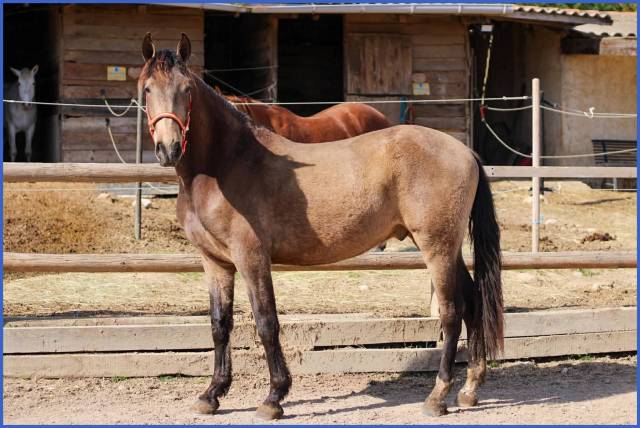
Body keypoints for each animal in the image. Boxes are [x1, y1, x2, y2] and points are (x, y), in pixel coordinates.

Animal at [140, 33, 503, 420]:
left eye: (187, 89)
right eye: (147, 89)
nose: (169, 149)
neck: (227, 163)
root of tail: (464, 152)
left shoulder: (252, 258)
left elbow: (266, 322)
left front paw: (274, 398)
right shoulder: (215, 262)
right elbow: (220, 325)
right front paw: (212, 394)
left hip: (437, 247)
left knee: (451, 313)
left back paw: (437, 396)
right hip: (448, 249)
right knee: (473, 305)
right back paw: (469, 390)